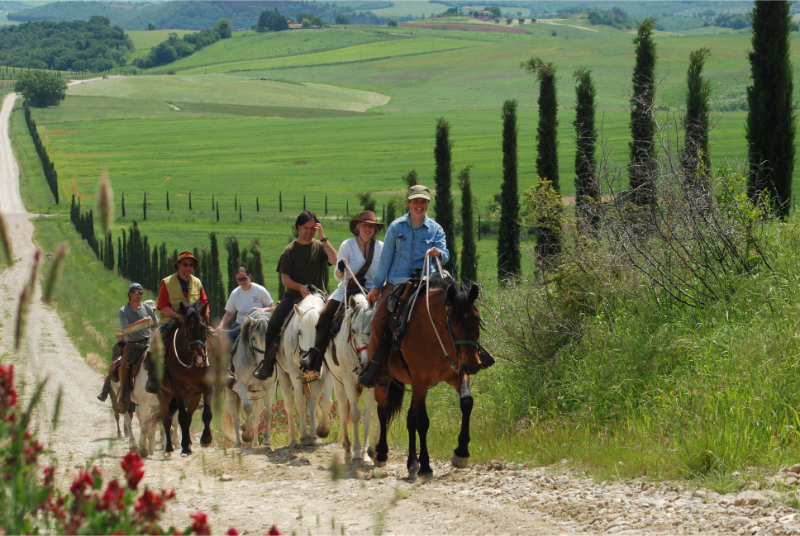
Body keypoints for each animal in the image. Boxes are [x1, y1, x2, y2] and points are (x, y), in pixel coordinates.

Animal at [156, 302, 211, 456]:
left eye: (204, 328)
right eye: (188, 329)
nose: (200, 359)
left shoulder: (205, 387)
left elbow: (206, 414)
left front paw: (206, 439)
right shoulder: (178, 390)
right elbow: (182, 417)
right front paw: (185, 446)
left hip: (194, 396)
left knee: (189, 416)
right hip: (164, 395)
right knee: (166, 420)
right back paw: (169, 448)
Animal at [220, 310, 280, 448]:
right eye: (253, 338)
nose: (263, 365)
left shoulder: (271, 387)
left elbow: (267, 413)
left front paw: (266, 441)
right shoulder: (240, 385)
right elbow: (247, 408)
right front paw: (246, 434)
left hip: (258, 396)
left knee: (256, 417)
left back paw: (256, 444)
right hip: (231, 394)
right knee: (235, 419)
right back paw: (238, 443)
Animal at [274, 292, 332, 446]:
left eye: (320, 331)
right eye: (299, 332)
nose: (308, 363)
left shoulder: (325, 372)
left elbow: (323, 402)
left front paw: (320, 432)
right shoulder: (294, 372)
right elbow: (299, 402)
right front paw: (305, 435)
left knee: (310, 401)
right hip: (283, 375)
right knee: (289, 404)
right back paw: (294, 437)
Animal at [328, 294, 382, 464]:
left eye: (374, 328)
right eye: (353, 330)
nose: (366, 362)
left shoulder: (372, 384)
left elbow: (367, 415)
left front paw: (365, 453)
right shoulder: (348, 380)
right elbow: (354, 415)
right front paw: (357, 452)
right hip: (338, 382)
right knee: (343, 409)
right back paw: (347, 450)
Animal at [374, 270, 488, 480]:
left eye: (477, 320)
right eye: (454, 322)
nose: (473, 364)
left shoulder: (457, 374)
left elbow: (467, 403)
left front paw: (461, 452)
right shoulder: (420, 380)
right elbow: (422, 421)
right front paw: (426, 465)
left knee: (409, 418)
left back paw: (412, 462)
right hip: (384, 380)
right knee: (383, 411)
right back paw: (381, 453)